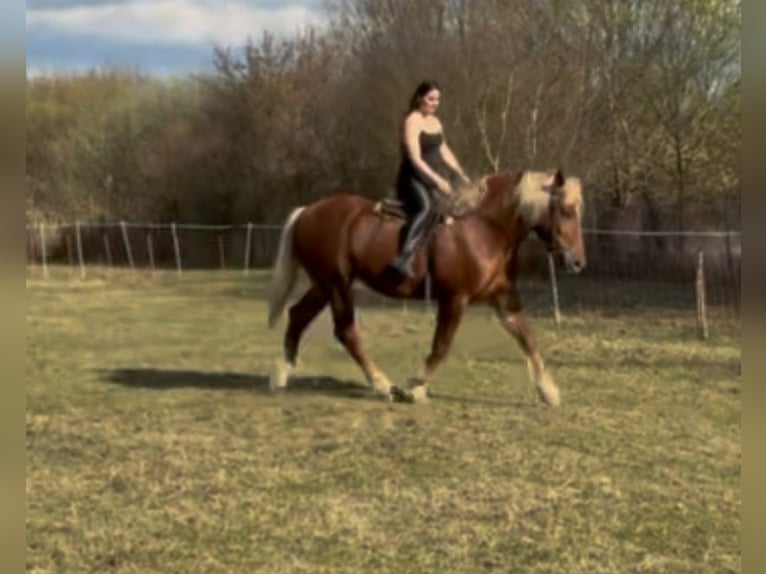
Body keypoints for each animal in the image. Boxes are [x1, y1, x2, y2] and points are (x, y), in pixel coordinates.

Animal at [266, 169, 586, 406]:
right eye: (567, 210)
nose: (578, 262)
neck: (484, 227)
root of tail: (308, 211)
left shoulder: (504, 298)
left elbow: (527, 337)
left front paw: (549, 391)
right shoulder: (454, 298)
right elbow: (441, 345)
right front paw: (414, 388)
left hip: (324, 285)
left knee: (298, 315)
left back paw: (282, 373)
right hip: (337, 287)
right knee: (346, 331)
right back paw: (381, 384)